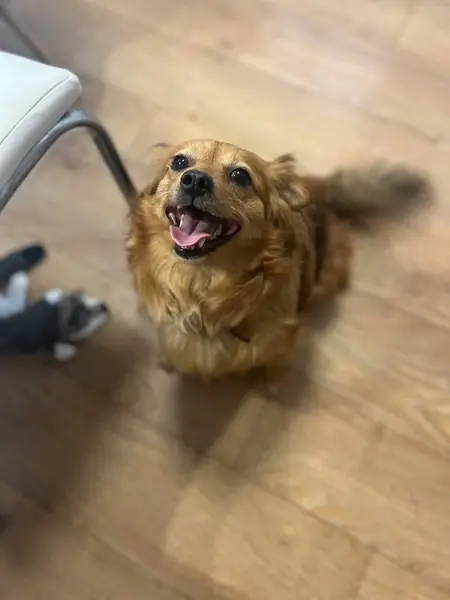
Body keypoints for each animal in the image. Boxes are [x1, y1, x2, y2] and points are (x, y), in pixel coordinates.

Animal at [127, 139, 430, 380]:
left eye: (240, 176)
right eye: (179, 162)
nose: (196, 179)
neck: (201, 285)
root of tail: (317, 187)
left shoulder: (279, 340)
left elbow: (273, 363)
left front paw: (270, 381)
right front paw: (168, 363)